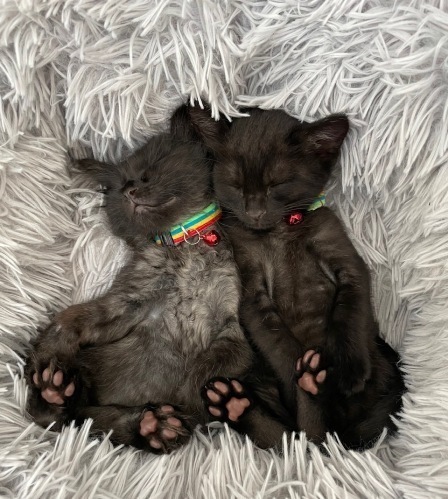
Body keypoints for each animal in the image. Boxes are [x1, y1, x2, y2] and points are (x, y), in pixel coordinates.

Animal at [25, 105, 292, 453]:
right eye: (120, 183)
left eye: (150, 171)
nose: (129, 190)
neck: (185, 247)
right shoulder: (129, 303)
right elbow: (76, 316)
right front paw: (50, 345)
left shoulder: (232, 332)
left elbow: (199, 376)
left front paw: (194, 407)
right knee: (69, 419)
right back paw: (58, 392)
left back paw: (165, 423)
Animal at [186, 104, 405, 449]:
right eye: (235, 184)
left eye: (277, 184)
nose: (254, 212)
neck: (279, 232)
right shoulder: (252, 294)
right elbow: (279, 345)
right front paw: (298, 386)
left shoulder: (348, 263)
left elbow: (349, 312)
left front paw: (351, 369)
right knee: (297, 439)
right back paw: (245, 401)